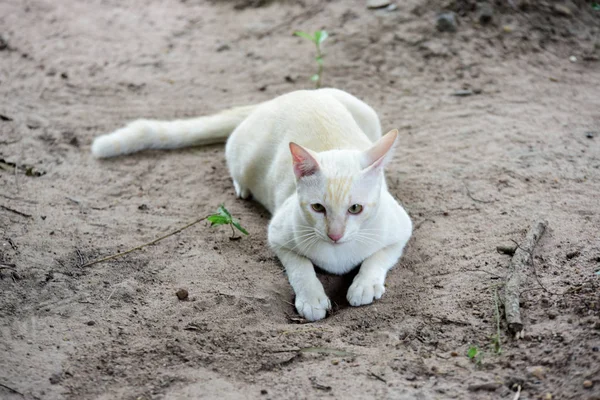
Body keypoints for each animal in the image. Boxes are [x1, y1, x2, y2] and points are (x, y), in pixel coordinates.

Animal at [91, 89, 412, 320]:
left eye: (355, 209)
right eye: (318, 208)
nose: (334, 235)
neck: (338, 254)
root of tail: (284, 96)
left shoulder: (402, 228)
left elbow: (378, 258)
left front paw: (364, 284)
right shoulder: (278, 235)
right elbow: (301, 267)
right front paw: (312, 298)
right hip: (242, 154)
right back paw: (242, 188)